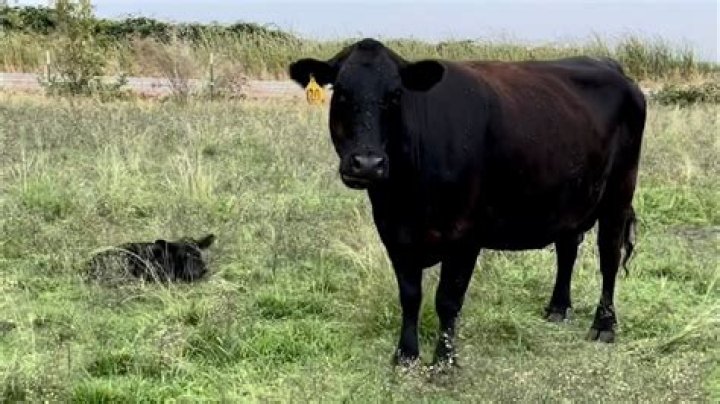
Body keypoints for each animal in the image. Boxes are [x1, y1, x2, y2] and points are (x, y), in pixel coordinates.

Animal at [289, 38, 646, 366]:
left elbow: (447, 300)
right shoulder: (394, 235)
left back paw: (604, 325)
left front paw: (444, 361)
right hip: (569, 199)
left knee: (609, 257)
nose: (366, 163)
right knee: (568, 248)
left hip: (619, 194)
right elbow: (410, 296)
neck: (405, 198)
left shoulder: (465, 237)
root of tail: (612, 67)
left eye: (395, 95)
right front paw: (406, 354)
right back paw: (558, 308)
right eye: (341, 92)